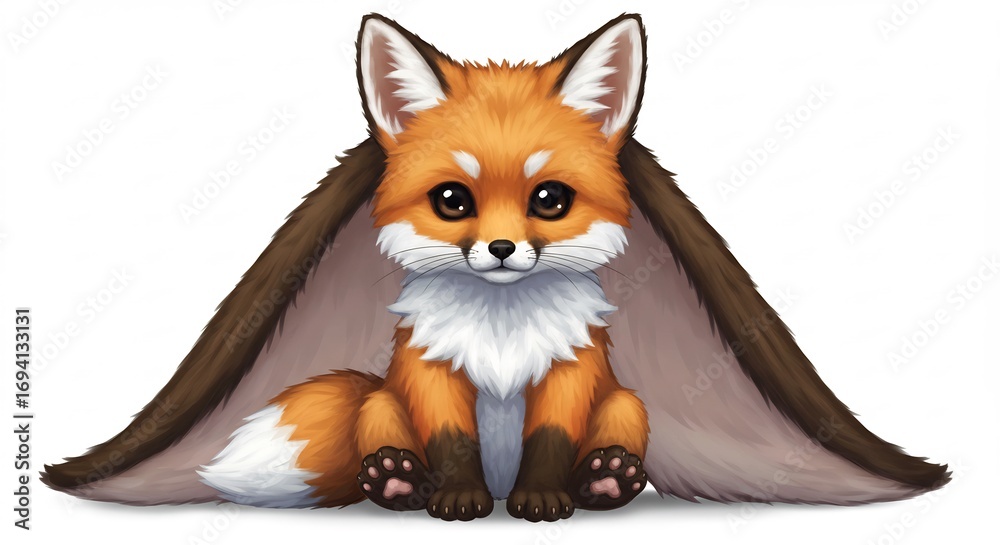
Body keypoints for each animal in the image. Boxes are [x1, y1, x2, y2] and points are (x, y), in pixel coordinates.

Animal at [43, 13, 948, 522]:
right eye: (453, 199)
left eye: (549, 198)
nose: (504, 249)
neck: (503, 331)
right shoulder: (434, 375)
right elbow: (452, 446)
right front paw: (455, 499)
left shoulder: (570, 375)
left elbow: (550, 442)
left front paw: (546, 499)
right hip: (381, 399)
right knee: (383, 441)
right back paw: (394, 484)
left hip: (627, 401)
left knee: (614, 442)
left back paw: (607, 483)